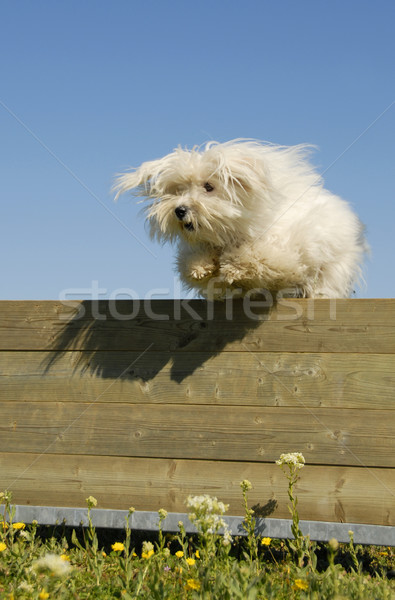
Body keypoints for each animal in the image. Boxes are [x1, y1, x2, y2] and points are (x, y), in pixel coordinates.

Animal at [114, 141, 368, 300]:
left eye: (209, 187)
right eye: (179, 190)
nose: (180, 210)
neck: (231, 232)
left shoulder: (284, 253)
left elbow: (255, 256)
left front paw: (233, 266)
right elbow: (195, 263)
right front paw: (203, 267)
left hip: (335, 267)